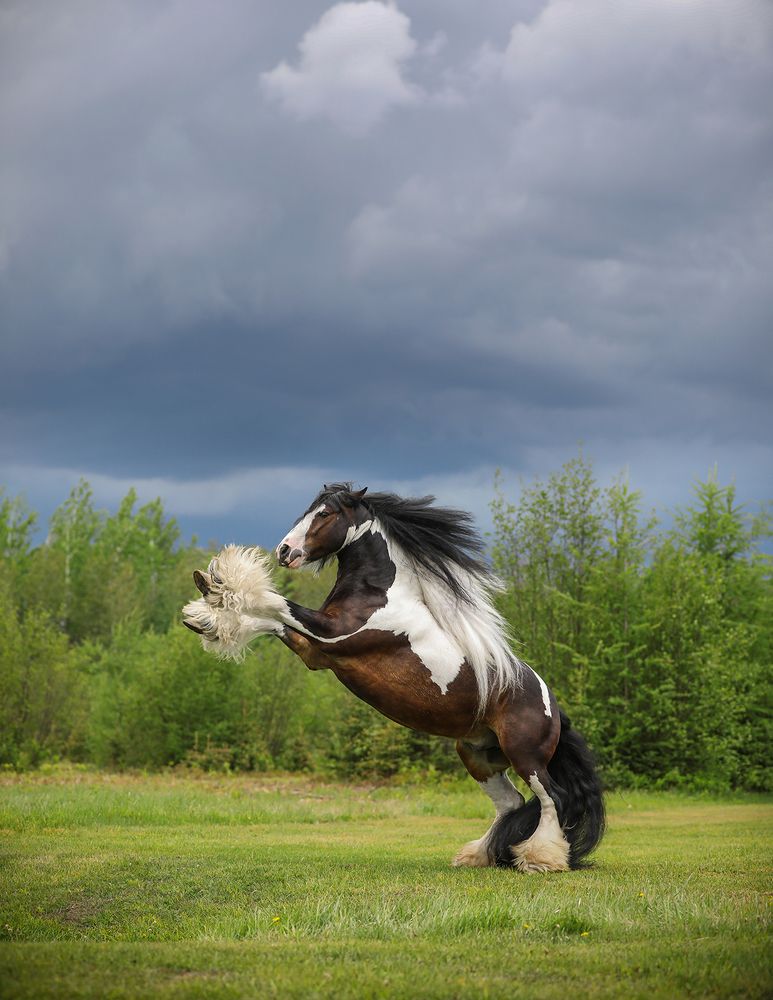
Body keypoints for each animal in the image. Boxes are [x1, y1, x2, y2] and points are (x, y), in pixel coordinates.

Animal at [182, 483, 605, 871]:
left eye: (325, 514)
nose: (285, 552)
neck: (379, 595)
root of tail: (552, 706)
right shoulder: (315, 653)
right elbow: (269, 621)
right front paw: (205, 616)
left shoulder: (330, 634)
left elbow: (274, 603)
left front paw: (220, 586)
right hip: (476, 754)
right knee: (510, 803)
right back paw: (477, 856)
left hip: (526, 755)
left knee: (552, 798)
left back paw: (541, 860)